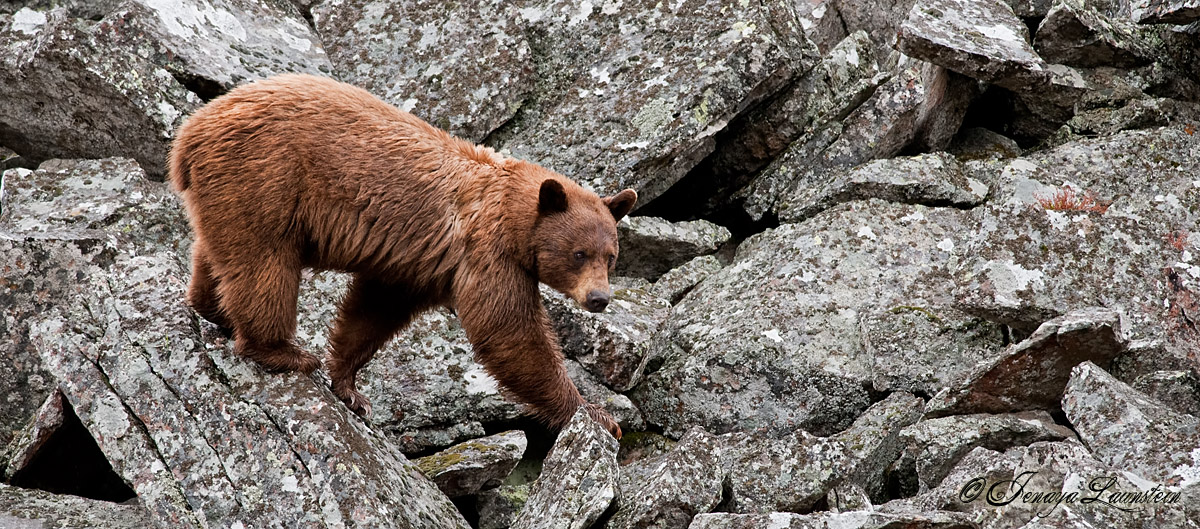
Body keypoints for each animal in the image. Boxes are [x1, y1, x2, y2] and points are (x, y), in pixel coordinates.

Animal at [168, 74, 635, 438]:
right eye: (579, 253)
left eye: (611, 256)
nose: (599, 299)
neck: (514, 217)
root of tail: (188, 135)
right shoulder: (488, 255)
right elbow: (510, 332)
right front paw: (596, 414)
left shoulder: (414, 264)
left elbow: (374, 310)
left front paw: (351, 388)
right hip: (264, 178)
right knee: (264, 265)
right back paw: (282, 350)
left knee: (219, 252)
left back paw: (211, 307)